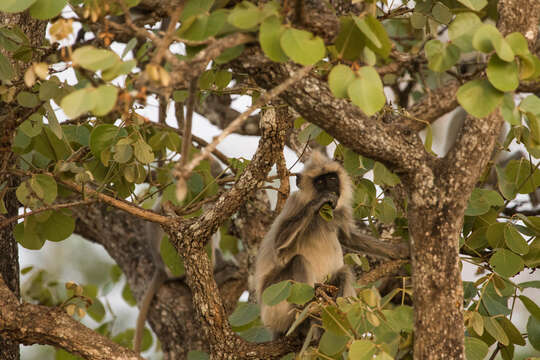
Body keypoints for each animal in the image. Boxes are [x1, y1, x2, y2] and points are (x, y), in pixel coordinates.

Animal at [254, 150, 356, 336]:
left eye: (332, 179)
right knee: (299, 260)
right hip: (275, 302)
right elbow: (278, 247)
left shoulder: (340, 210)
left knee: (345, 272)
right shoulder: (295, 202)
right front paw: (318, 202)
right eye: (320, 182)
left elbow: (349, 238)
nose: (329, 189)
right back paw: (309, 313)